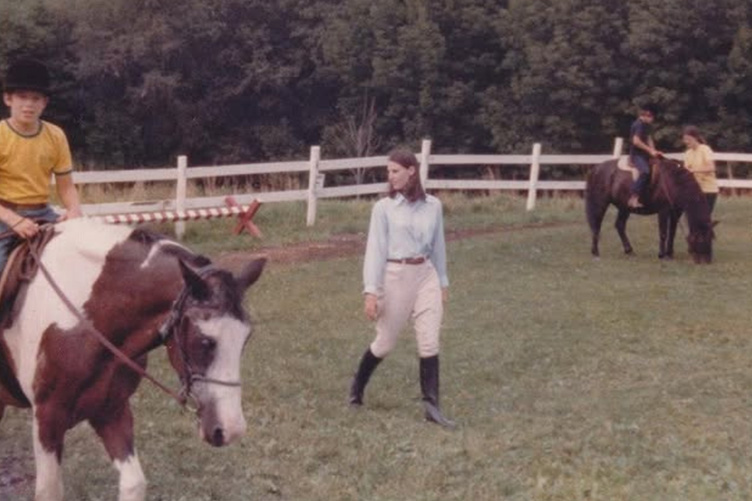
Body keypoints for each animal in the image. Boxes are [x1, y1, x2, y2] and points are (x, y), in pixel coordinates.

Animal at [0, 218, 266, 501]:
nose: (231, 429)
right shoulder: (47, 419)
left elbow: (134, 483)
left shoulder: (112, 410)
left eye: (246, 338)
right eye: (204, 341)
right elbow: (49, 491)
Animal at [585, 156, 714, 263]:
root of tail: (596, 168)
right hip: (600, 203)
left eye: (711, 238)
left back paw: (629, 251)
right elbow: (663, 233)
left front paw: (670, 254)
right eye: (702, 239)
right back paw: (595, 253)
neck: (673, 181)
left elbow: (672, 233)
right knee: (596, 226)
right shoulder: (663, 211)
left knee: (619, 225)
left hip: (624, 208)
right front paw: (662, 255)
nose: (707, 261)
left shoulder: (675, 213)